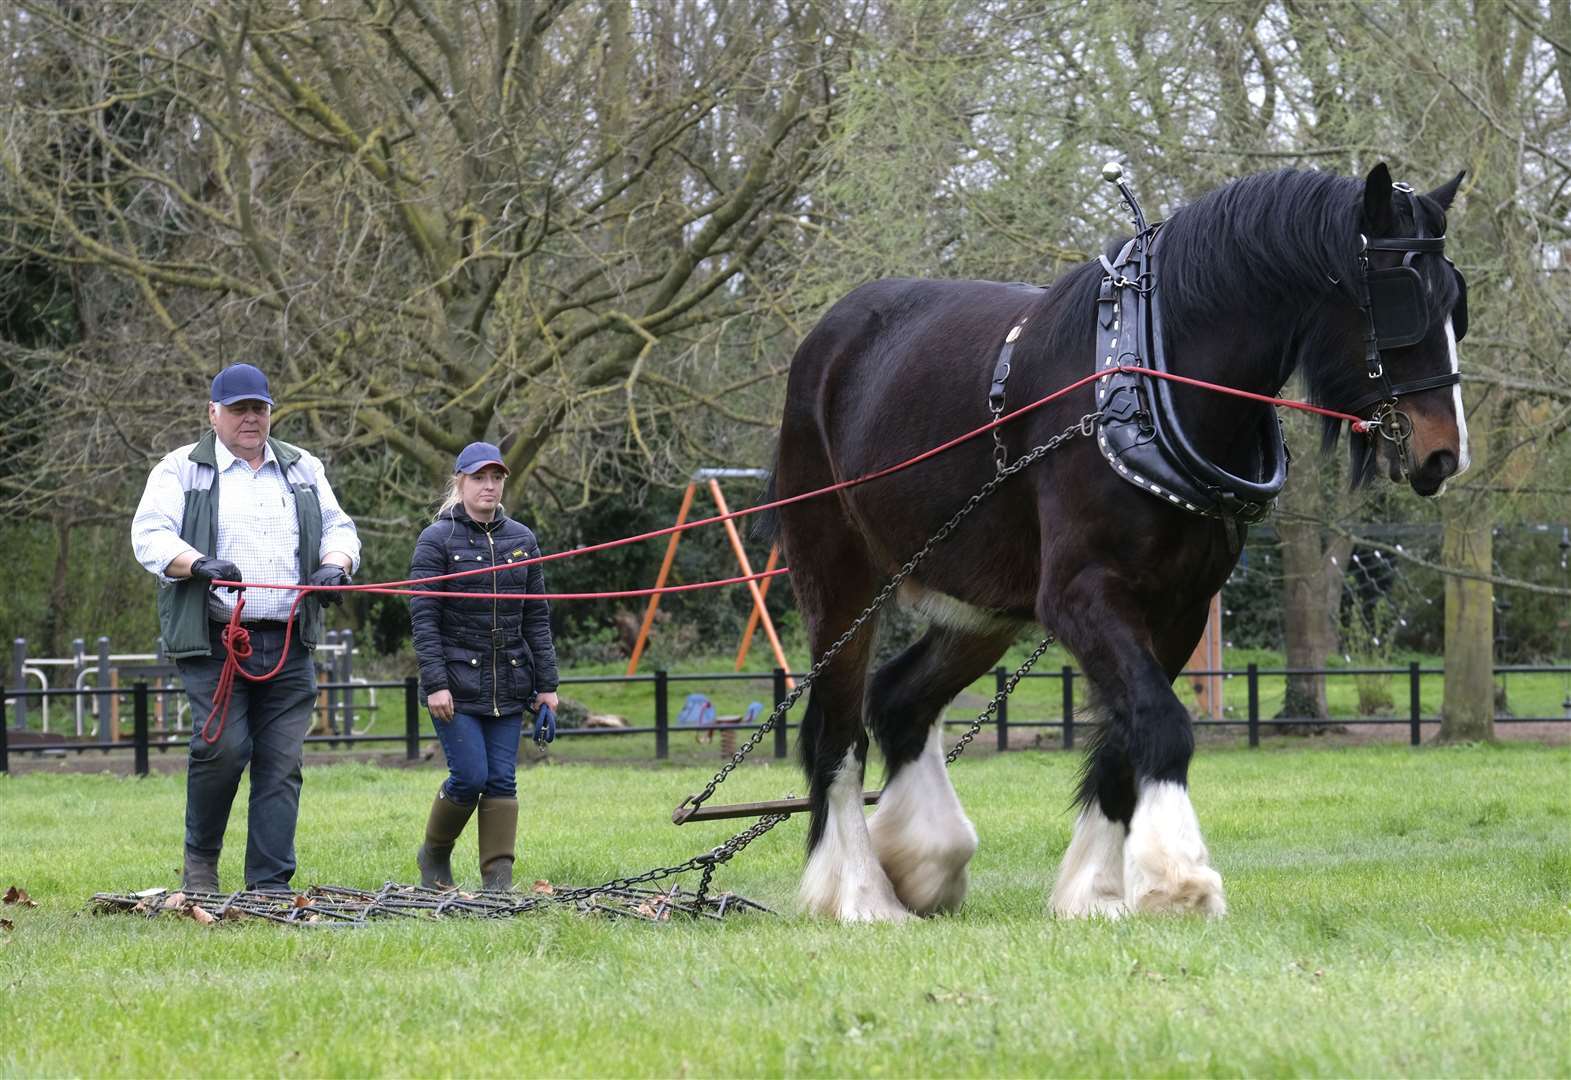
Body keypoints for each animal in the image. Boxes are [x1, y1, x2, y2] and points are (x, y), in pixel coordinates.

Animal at [766, 162, 1464, 918]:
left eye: (1457, 303)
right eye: (1402, 297)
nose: (1444, 454)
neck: (1146, 379)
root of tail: (826, 340)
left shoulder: (1180, 606)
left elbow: (1126, 740)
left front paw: (1095, 892)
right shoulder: (1079, 595)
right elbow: (1159, 721)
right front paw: (1178, 878)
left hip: (983, 603)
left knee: (899, 700)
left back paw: (924, 860)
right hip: (840, 581)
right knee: (838, 729)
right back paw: (862, 894)